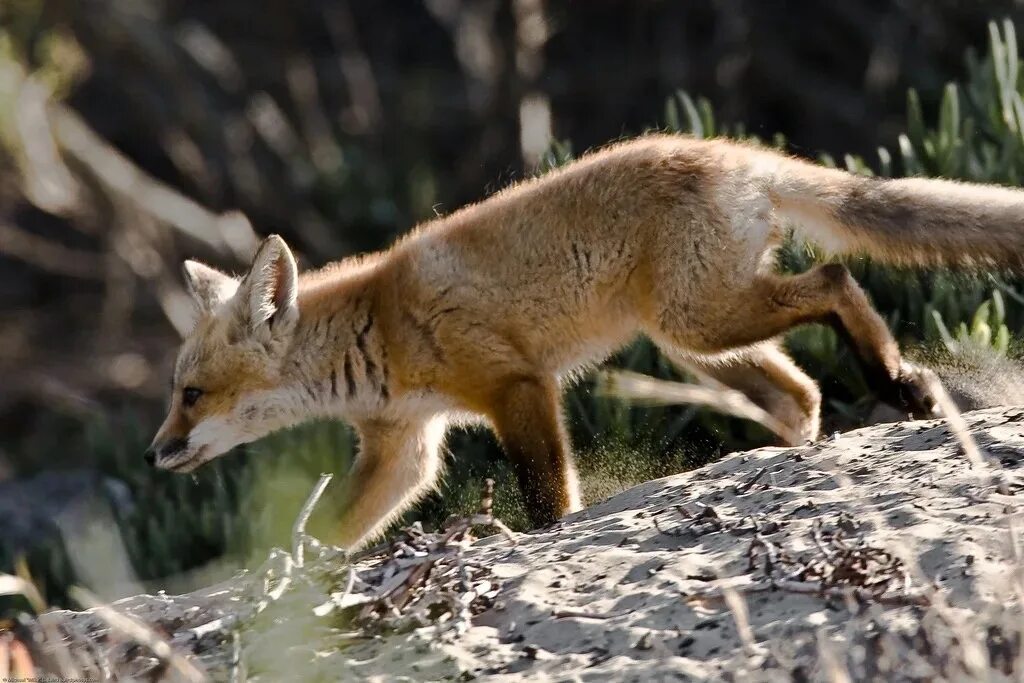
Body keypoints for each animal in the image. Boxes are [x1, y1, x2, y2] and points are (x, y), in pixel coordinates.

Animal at [146, 133, 1024, 548]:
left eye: (192, 394)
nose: (156, 454)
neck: (379, 330)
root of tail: (731, 151)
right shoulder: (405, 447)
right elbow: (333, 533)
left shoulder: (515, 385)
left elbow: (548, 500)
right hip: (698, 343)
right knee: (802, 391)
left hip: (701, 319)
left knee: (839, 280)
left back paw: (899, 380)